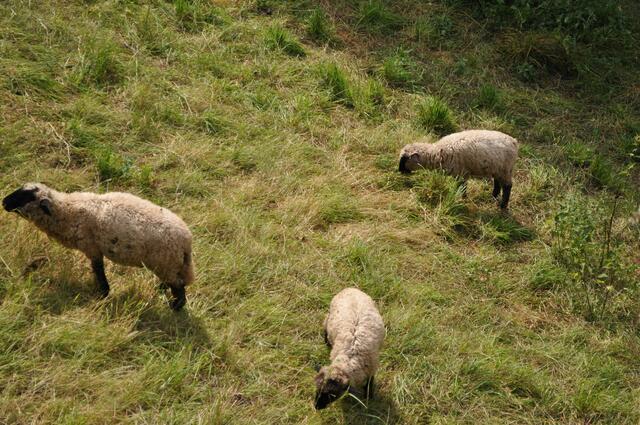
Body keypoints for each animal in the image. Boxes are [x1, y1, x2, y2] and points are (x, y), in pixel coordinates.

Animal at [2, 183, 194, 310]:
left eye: (26, 197)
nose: (3, 202)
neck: (68, 211)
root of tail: (186, 241)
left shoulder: (92, 248)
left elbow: (98, 270)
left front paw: (103, 293)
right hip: (169, 265)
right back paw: (161, 290)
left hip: (166, 263)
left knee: (179, 287)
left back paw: (175, 306)